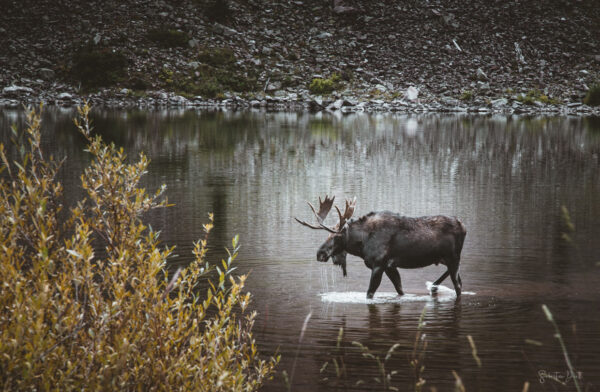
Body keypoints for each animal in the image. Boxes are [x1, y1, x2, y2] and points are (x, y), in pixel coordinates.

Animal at [292, 194, 466, 298]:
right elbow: (400, 289)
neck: (361, 244)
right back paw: (434, 286)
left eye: (336, 236)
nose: (319, 253)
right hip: (446, 259)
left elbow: (370, 293)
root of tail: (464, 226)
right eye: (327, 235)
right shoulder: (390, 266)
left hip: (453, 257)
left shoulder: (378, 264)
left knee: (458, 286)